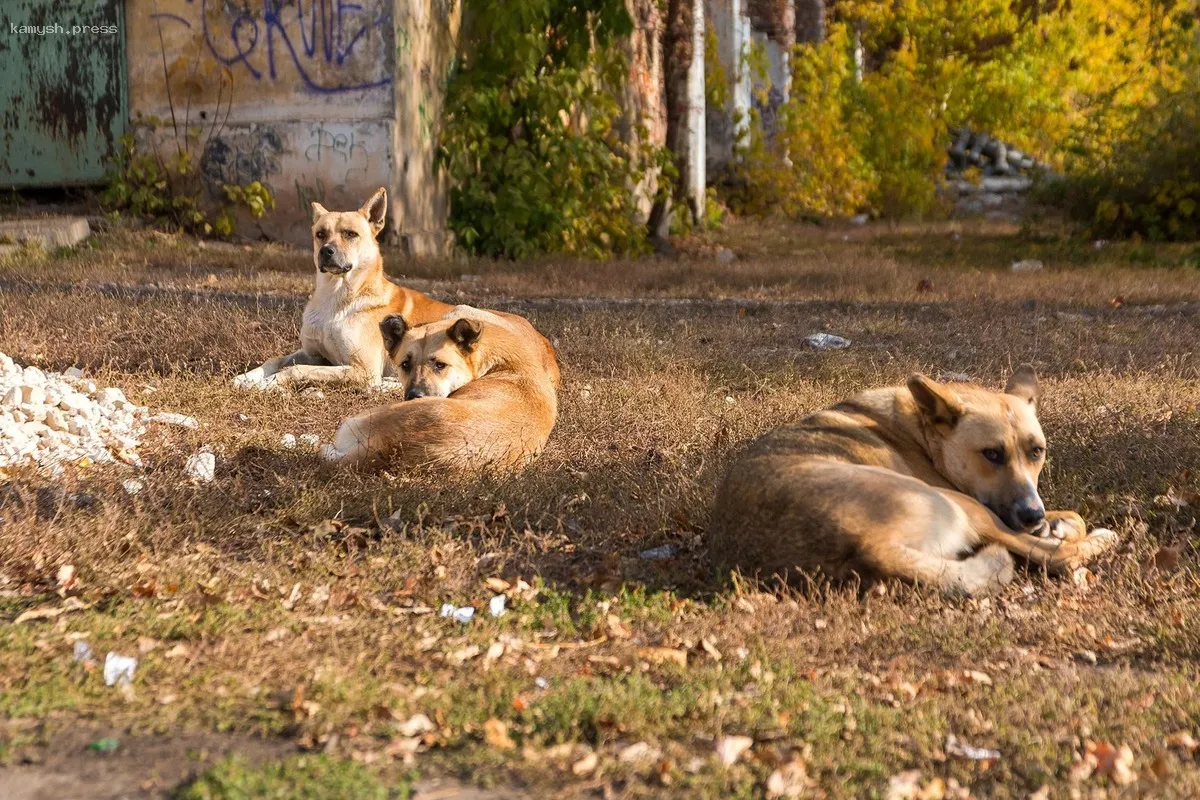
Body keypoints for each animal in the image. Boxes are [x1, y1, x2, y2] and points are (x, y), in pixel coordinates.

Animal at [231, 185, 451, 388]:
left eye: (351, 234)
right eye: (320, 234)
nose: (326, 251)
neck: (335, 297)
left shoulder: (364, 369)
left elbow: (296, 369)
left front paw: (268, 382)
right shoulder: (313, 354)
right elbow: (275, 360)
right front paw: (247, 377)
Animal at [705, 367, 1118, 594]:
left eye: (1037, 451)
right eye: (992, 454)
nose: (1033, 515)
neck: (920, 430)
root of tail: (872, 548)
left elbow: (1071, 516)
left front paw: (1057, 525)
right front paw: (1061, 530)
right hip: (958, 505)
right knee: (1058, 558)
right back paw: (1095, 540)